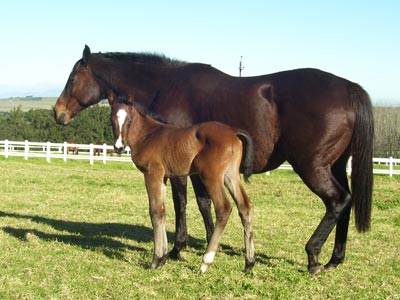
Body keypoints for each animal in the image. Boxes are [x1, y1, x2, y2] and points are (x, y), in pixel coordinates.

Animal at [110, 101, 253, 274]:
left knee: (224, 208)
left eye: (129, 120)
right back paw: (249, 263)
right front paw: (163, 257)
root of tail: (233, 132)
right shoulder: (164, 177)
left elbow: (155, 212)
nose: (118, 147)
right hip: (230, 175)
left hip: (211, 176)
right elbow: (162, 212)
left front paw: (155, 260)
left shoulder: (152, 174)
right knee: (245, 206)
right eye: (112, 119)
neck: (148, 135)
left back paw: (205, 262)